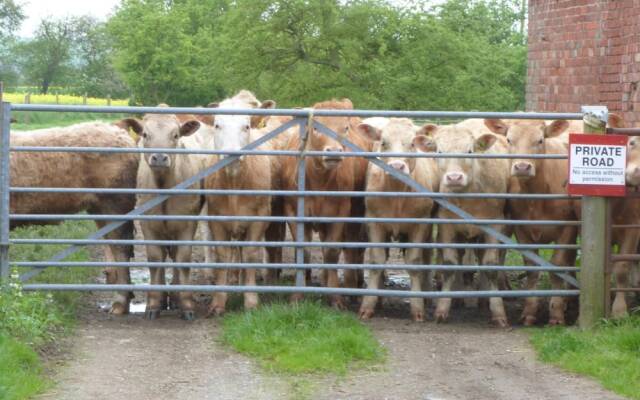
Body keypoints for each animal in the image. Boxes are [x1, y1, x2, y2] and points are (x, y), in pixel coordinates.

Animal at [129, 108, 201, 320]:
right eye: (145, 134)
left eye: (175, 135)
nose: (160, 157)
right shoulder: (147, 224)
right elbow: (154, 259)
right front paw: (153, 303)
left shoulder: (187, 224)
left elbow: (183, 259)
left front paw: (186, 304)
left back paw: (175, 297)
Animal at [356, 119, 440, 322]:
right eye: (383, 143)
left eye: (412, 144)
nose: (396, 166)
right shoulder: (374, 222)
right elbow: (377, 261)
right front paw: (368, 305)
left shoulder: (420, 224)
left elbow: (415, 262)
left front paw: (418, 307)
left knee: (427, 256)